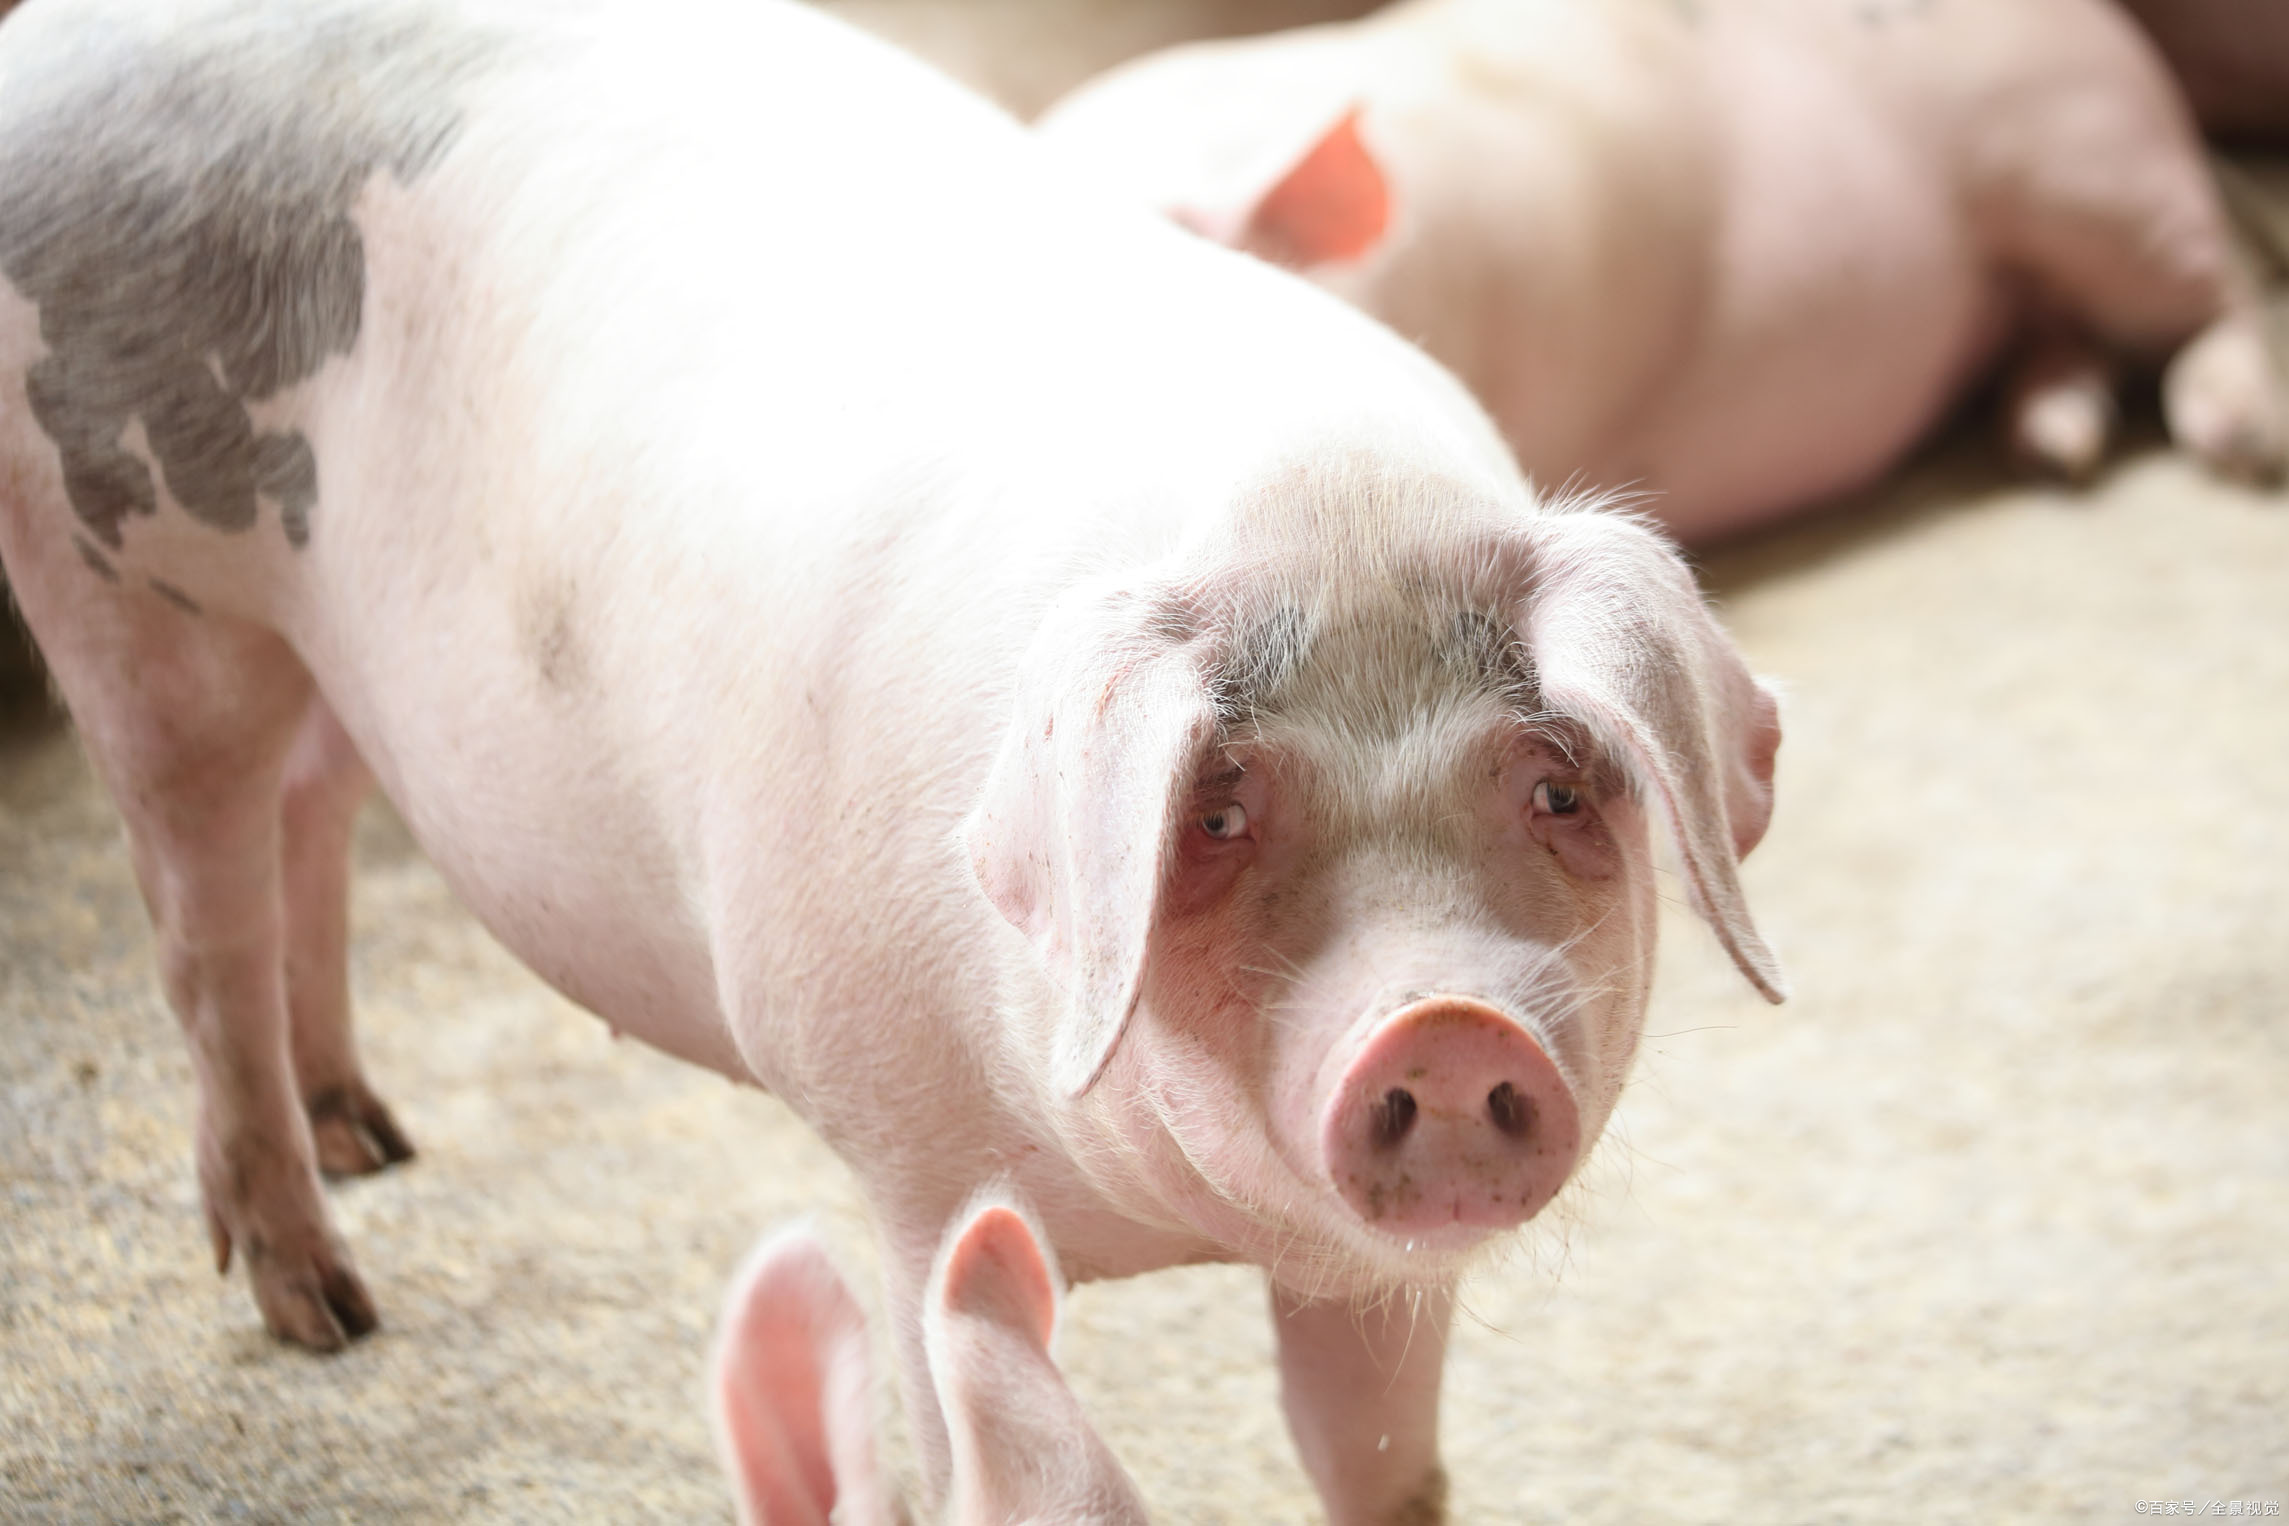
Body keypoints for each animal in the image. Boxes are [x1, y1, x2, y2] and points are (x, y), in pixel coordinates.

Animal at [0, 0, 1785, 1519]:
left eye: (1555, 786)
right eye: (1214, 809)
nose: (1444, 1019)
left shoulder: (1365, 1269)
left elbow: (1373, 1457)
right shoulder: (910, 1161)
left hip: (319, 663)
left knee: (304, 822)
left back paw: (370, 1129)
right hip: (126, 598)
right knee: (202, 922)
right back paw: (327, 1306)